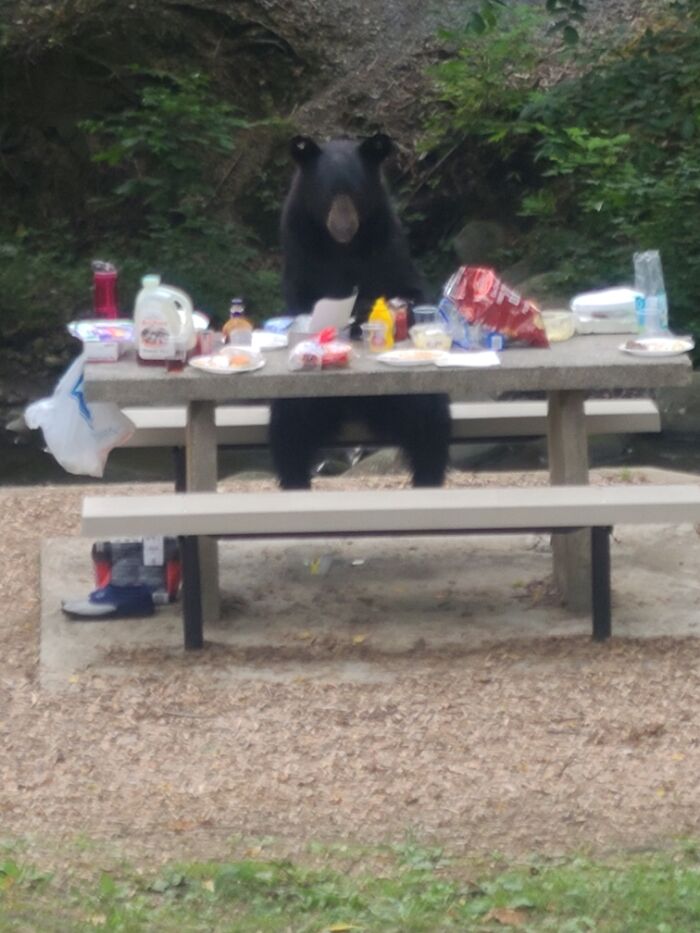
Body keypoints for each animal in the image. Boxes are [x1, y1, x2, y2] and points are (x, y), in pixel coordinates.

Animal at [269, 133, 451, 490]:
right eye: (328, 193)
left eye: (355, 193)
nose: (343, 226)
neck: (342, 249)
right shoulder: (300, 245)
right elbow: (303, 300)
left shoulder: (385, 241)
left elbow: (408, 288)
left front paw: (371, 310)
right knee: (290, 429)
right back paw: (295, 479)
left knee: (429, 422)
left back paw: (427, 476)